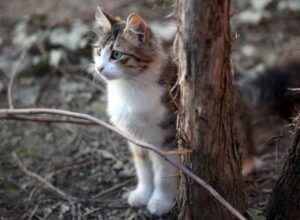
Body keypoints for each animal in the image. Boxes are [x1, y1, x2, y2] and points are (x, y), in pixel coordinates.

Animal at [92, 7, 179, 217]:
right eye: (98, 51)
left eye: (116, 54)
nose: (99, 68)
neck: (128, 87)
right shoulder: (135, 138)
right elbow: (144, 170)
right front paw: (143, 194)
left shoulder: (167, 139)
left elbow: (163, 174)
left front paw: (160, 201)